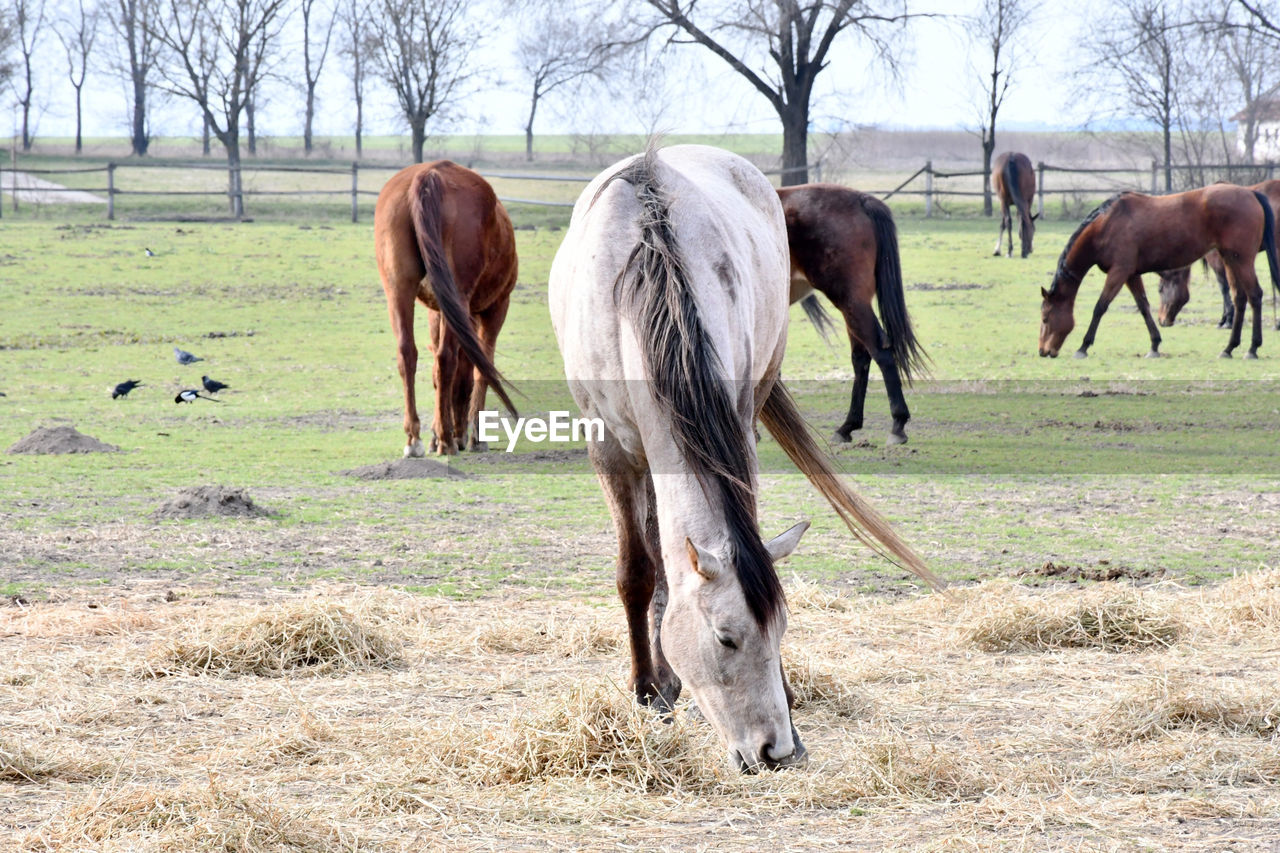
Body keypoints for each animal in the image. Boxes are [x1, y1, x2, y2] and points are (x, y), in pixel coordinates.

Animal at [373, 157, 519, 450]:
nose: (459, 431)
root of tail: (429, 175)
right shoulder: (496, 308)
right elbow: (481, 370)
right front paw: (472, 435)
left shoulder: (437, 312)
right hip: (461, 298)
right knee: (446, 358)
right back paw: (447, 441)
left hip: (398, 291)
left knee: (407, 354)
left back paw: (415, 438)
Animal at [773, 184, 926, 445]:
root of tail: (861, 200)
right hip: (852, 306)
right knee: (861, 358)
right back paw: (848, 426)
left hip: (850, 301)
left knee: (879, 352)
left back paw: (897, 424)